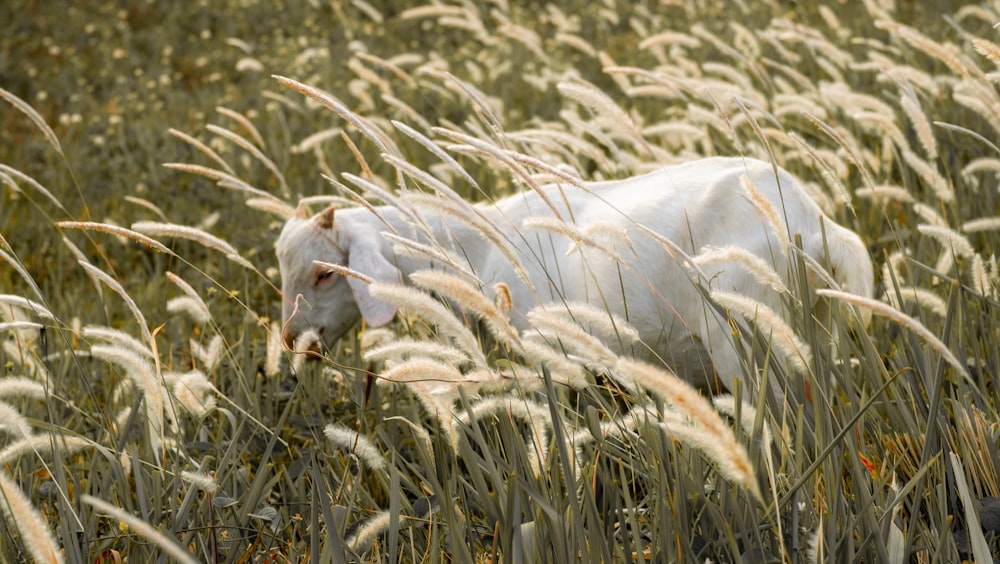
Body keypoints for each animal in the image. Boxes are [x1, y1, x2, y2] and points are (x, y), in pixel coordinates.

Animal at [278, 154, 872, 392]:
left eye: (324, 274)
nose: (290, 339)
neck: (476, 245)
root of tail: (810, 222)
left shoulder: (549, 354)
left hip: (742, 337)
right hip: (812, 337)